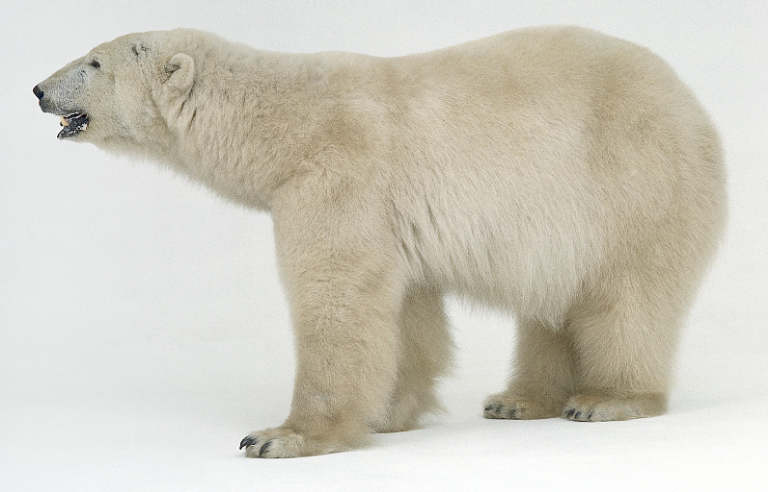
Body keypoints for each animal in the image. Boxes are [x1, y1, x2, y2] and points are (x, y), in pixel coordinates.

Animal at [33, 26, 726, 458]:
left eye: (93, 63)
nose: (38, 89)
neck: (281, 124)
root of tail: (694, 106)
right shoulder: (390, 217)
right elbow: (406, 312)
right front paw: (388, 413)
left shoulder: (338, 175)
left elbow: (337, 300)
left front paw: (282, 436)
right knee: (551, 304)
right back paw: (519, 400)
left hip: (628, 185)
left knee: (625, 298)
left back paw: (607, 399)